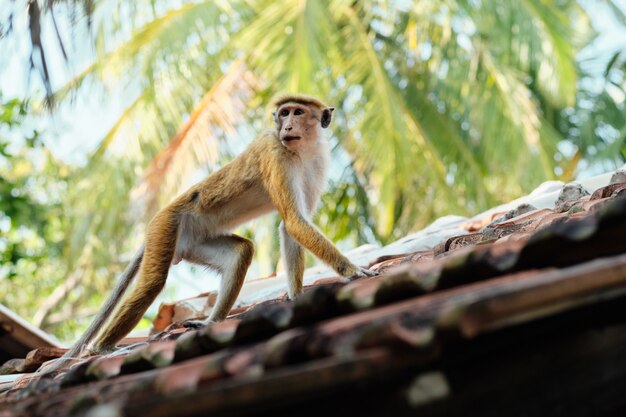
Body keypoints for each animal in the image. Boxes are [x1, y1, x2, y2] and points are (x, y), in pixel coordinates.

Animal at [44, 93, 376, 370]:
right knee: (152, 283)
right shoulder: (275, 152)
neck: (301, 149)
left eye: (297, 111)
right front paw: (352, 270)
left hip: (192, 242)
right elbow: (294, 221)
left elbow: (290, 224)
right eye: (284, 113)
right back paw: (99, 348)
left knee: (240, 251)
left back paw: (212, 321)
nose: (288, 125)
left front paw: (296, 296)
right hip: (165, 226)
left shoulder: (318, 162)